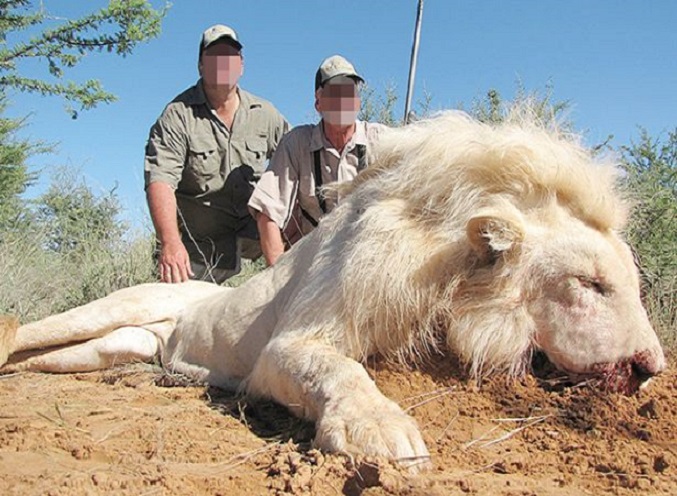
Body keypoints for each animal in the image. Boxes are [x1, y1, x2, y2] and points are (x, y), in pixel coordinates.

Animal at [0, 108, 664, 468]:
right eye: (591, 284)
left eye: (631, 285)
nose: (651, 368)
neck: (443, 273)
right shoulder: (288, 345)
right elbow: (341, 370)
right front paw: (382, 432)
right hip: (118, 307)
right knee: (34, 331)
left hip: (110, 349)